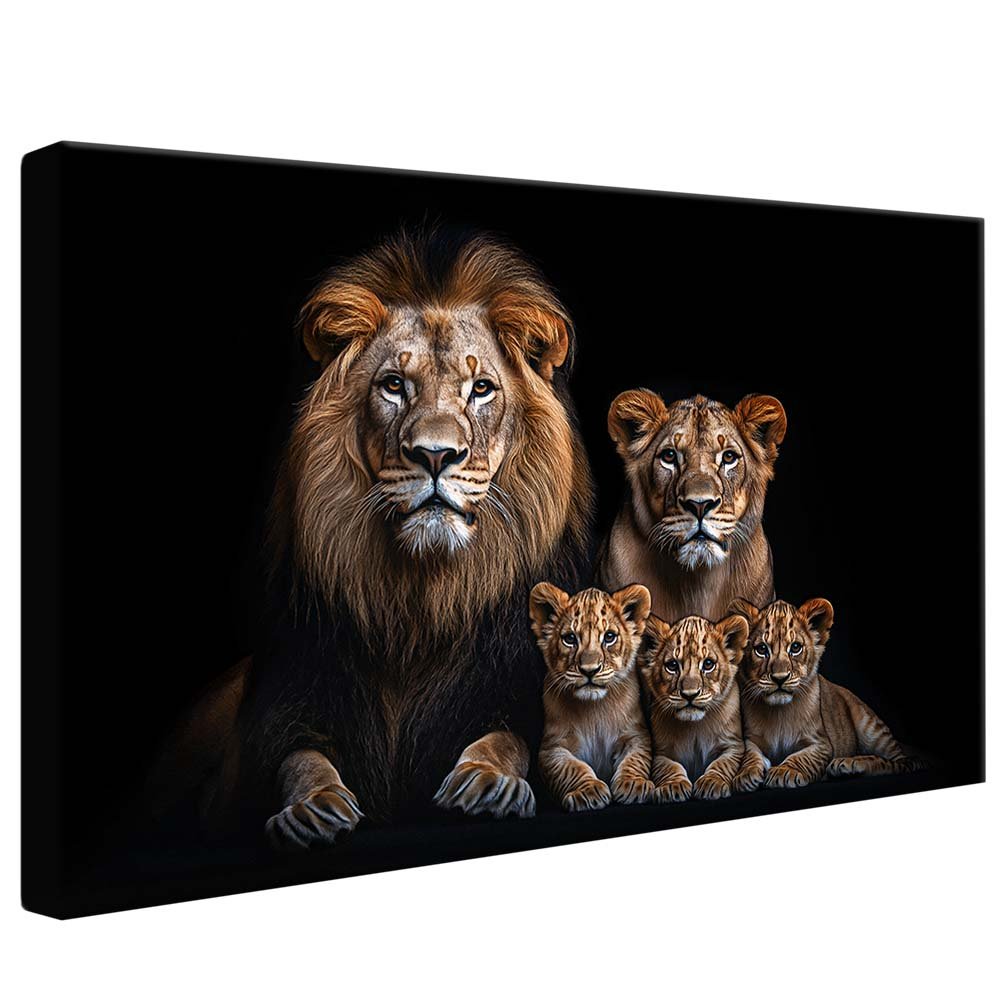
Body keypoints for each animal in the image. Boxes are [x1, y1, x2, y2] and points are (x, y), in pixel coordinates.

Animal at [150, 228, 594, 849]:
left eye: (481, 388)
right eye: (394, 386)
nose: (435, 455)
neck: (417, 604)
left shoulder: (511, 688)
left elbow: (508, 740)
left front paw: (486, 782)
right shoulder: (298, 692)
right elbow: (300, 760)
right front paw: (312, 808)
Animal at [529, 583, 654, 812]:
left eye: (609, 637)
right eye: (570, 638)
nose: (590, 670)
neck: (595, 709)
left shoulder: (636, 735)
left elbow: (635, 760)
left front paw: (634, 784)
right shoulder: (552, 748)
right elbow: (571, 768)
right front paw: (588, 791)